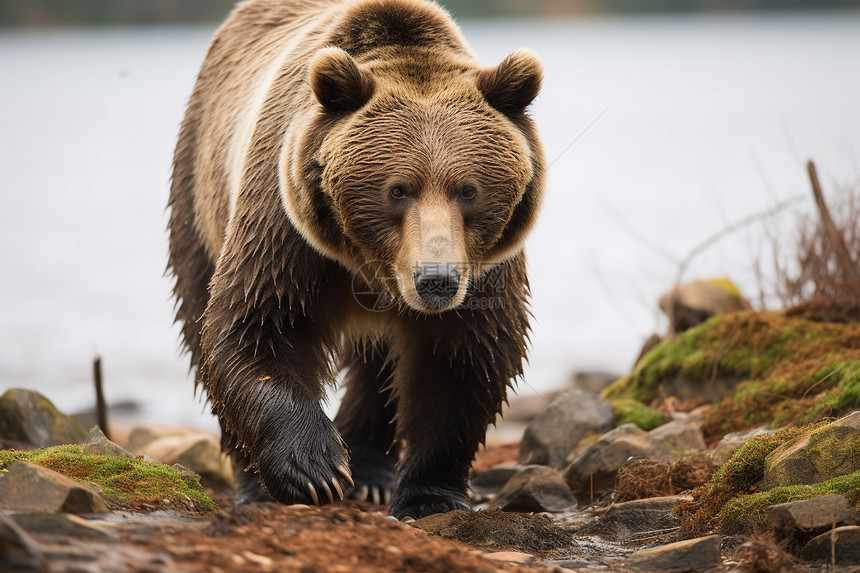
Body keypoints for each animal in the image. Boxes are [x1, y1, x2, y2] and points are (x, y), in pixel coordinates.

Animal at [168, 0, 544, 520]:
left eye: (468, 190)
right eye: (398, 189)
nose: (436, 280)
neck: (371, 266)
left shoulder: (483, 266)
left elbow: (464, 357)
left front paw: (429, 495)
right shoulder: (286, 227)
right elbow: (256, 326)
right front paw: (314, 469)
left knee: (380, 367)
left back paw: (368, 474)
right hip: (199, 193)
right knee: (196, 312)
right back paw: (257, 485)